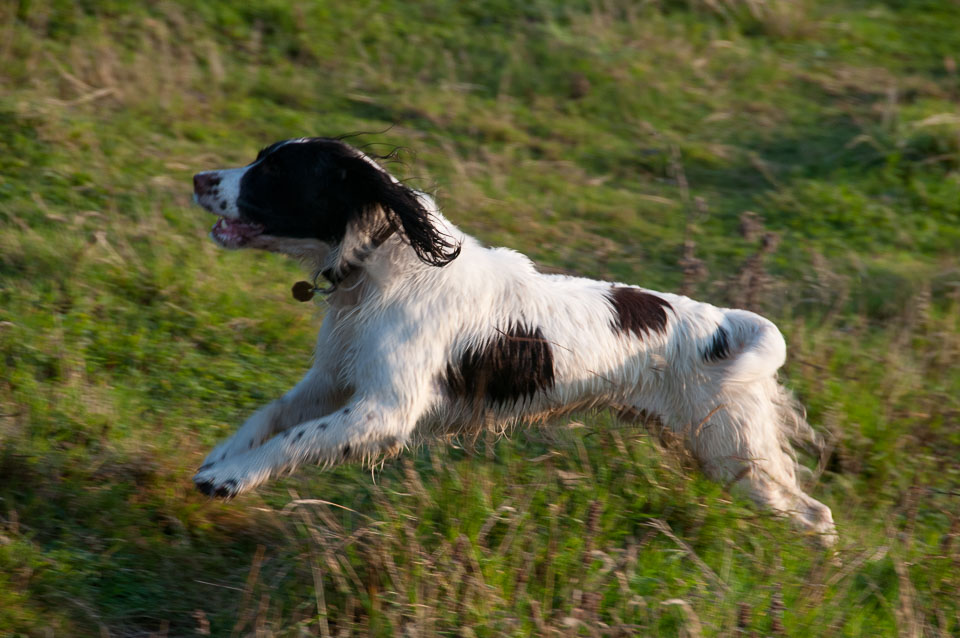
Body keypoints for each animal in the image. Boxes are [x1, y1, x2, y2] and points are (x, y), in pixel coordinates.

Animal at [191, 138, 836, 548]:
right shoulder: (333, 380)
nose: (198, 179)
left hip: (734, 453)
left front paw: (232, 479)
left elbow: (294, 438)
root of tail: (726, 324)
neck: (380, 266)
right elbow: (270, 415)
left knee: (815, 513)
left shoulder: (385, 408)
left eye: (275, 173)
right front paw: (220, 459)